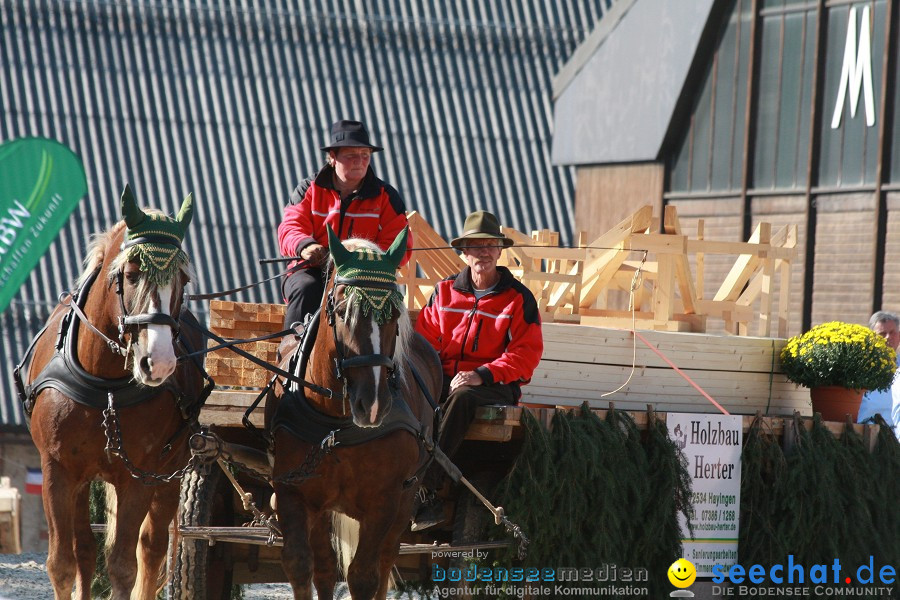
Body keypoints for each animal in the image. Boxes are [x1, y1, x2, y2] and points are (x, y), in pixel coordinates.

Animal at [16, 185, 207, 596]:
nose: (160, 363)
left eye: (183, 281)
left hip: (170, 472)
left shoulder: (138, 475)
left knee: (152, 548)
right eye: (132, 274)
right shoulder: (58, 469)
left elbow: (123, 565)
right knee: (86, 549)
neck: (103, 384)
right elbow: (62, 563)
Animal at [266, 227, 444, 596]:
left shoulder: (384, 501)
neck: (336, 425)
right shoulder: (294, 492)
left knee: (386, 558)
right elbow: (300, 565)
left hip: (406, 497)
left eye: (394, 315)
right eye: (343, 310)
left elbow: (363, 575)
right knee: (324, 568)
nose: (373, 405)